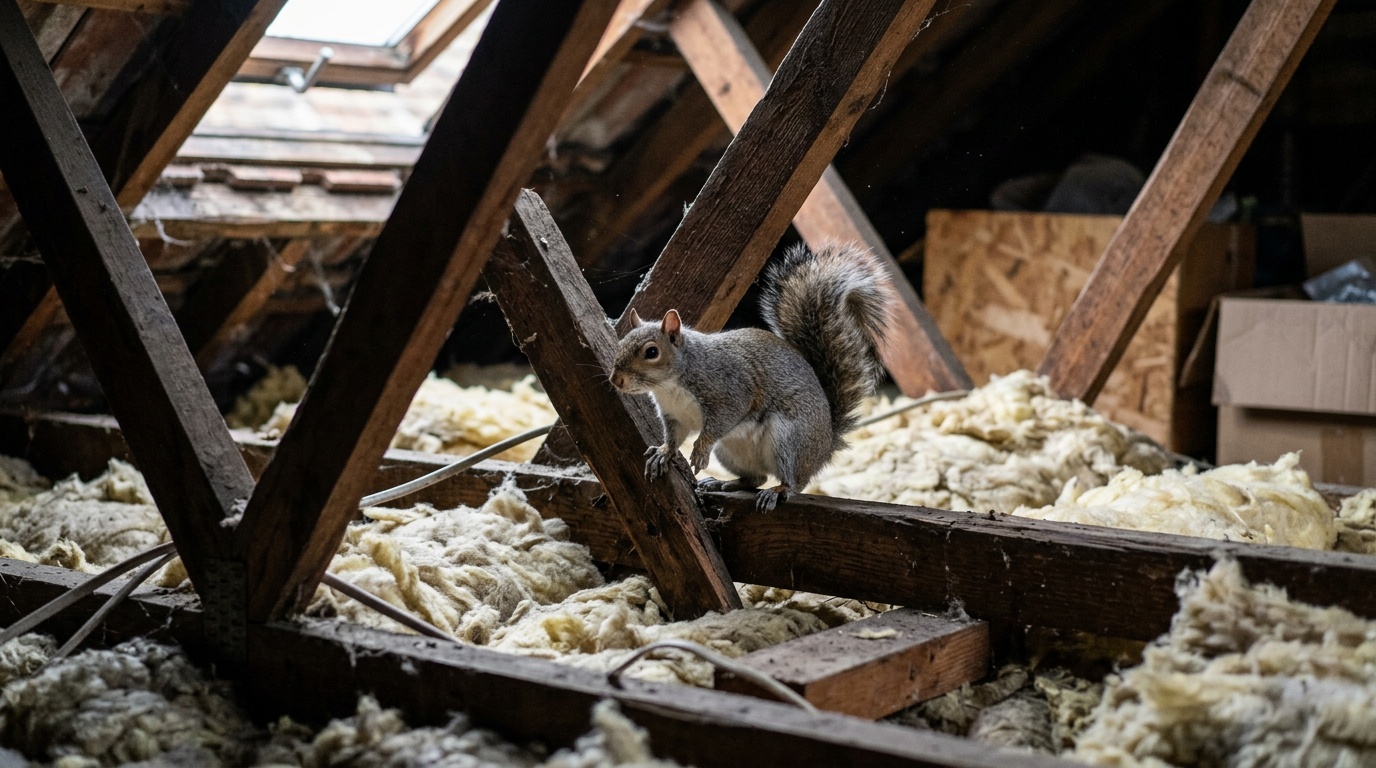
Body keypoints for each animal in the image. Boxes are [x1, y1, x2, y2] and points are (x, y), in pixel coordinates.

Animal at [610, 242, 894, 512]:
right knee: (756, 478)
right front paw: (664, 453)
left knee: (794, 483)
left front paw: (700, 450)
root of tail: (824, 447)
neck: (669, 385)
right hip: (730, 452)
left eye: (652, 352)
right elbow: (673, 437)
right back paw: (723, 483)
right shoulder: (674, 415)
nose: (616, 380)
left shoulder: (729, 389)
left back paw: (777, 490)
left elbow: (722, 419)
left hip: (789, 439)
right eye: (621, 342)